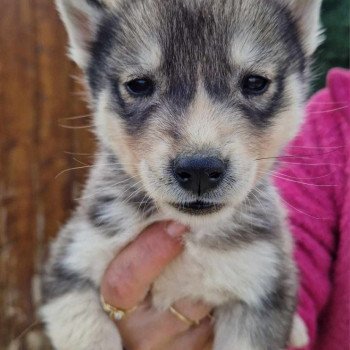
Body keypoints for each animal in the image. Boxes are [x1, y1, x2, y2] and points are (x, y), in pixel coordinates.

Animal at [41, 0, 322, 348]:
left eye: (255, 82)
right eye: (139, 85)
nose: (199, 169)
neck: (191, 234)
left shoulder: (262, 285)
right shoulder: (70, 261)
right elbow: (89, 331)